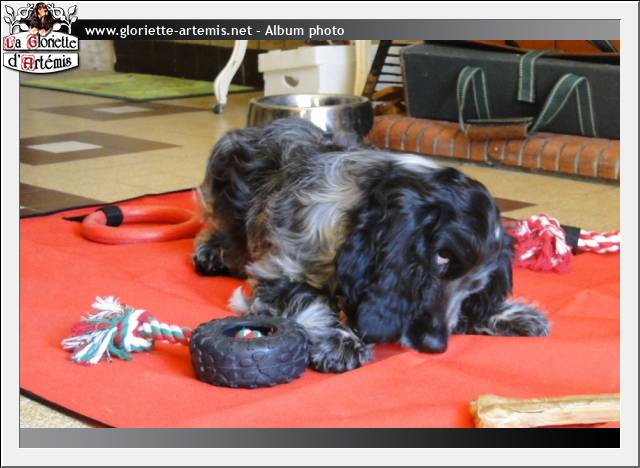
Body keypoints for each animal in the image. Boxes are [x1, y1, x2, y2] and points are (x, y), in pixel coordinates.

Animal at [193, 118, 549, 373]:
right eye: (441, 258)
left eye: (475, 286)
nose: (435, 345)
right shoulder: (276, 271)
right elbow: (305, 298)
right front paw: (338, 339)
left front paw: (512, 314)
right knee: (215, 226)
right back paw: (210, 252)